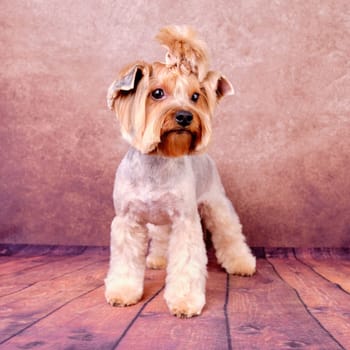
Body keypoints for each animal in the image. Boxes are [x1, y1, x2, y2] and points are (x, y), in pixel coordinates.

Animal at [104, 26, 254, 318]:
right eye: (157, 93)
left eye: (195, 96)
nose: (185, 116)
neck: (158, 160)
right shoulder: (128, 220)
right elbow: (126, 261)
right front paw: (123, 292)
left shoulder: (185, 220)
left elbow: (186, 262)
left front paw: (185, 301)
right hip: (160, 219)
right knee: (162, 236)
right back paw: (158, 259)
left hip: (216, 203)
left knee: (229, 232)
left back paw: (242, 263)